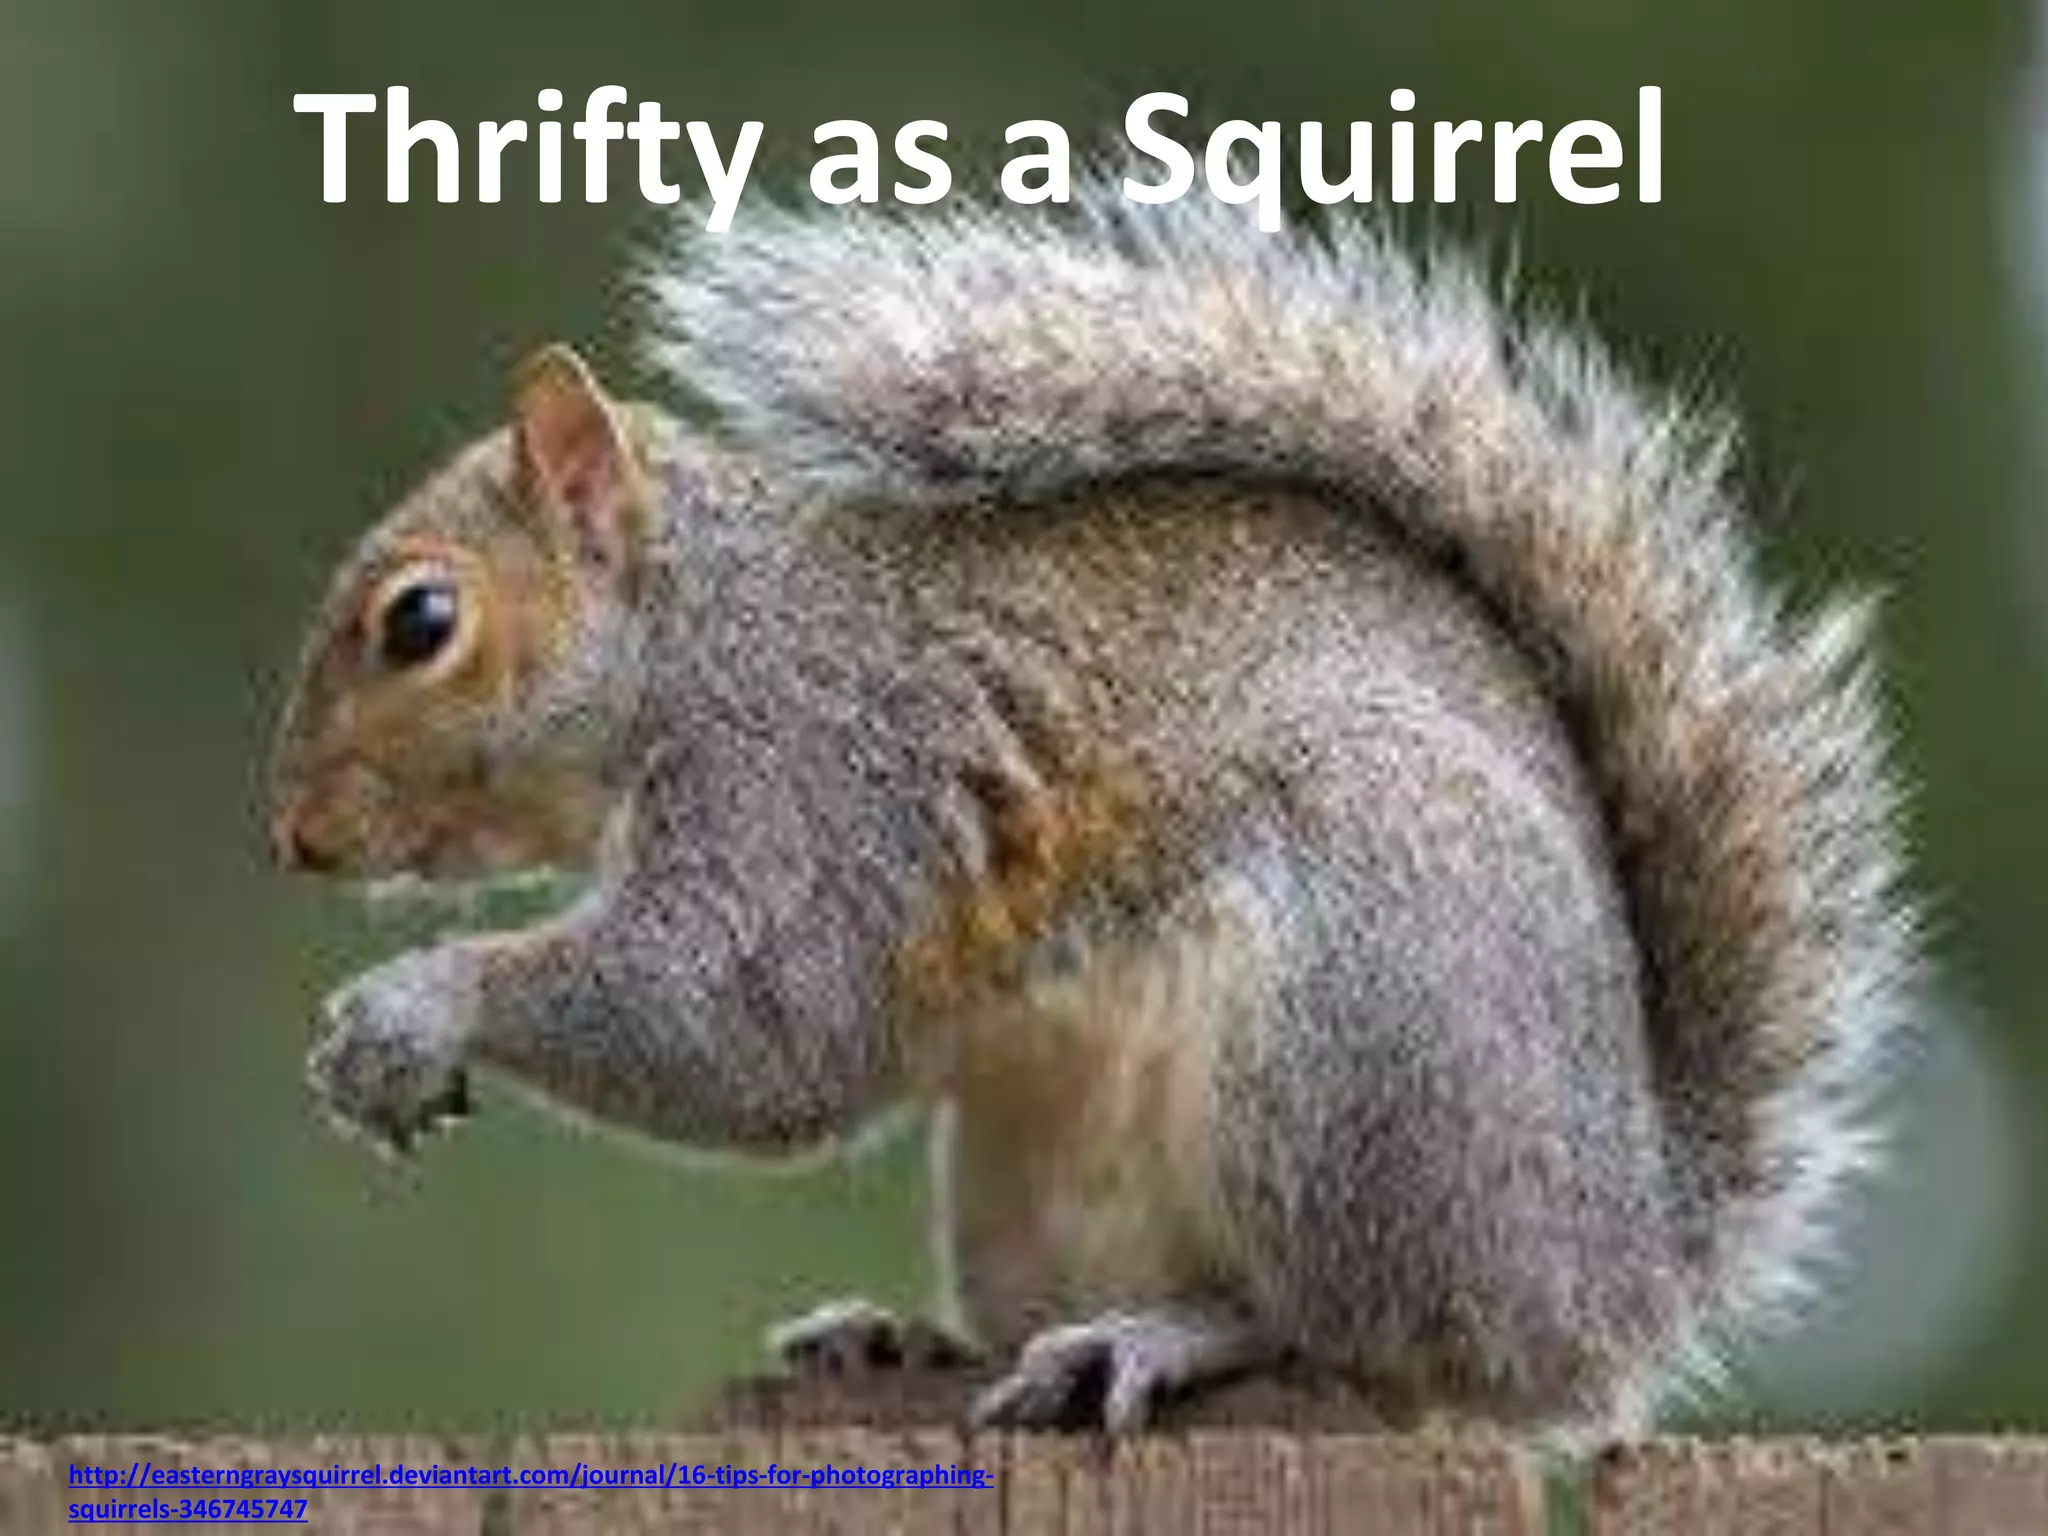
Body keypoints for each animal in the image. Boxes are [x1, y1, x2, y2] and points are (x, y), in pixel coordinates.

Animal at [267, 182, 1919, 1444]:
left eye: (421, 622)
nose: (294, 841)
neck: (706, 636)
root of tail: (1608, 1273)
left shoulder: (811, 784)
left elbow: (743, 1025)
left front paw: (414, 1005)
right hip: (1023, 1162)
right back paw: (911, 1343)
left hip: (1353, 1029)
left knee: (1350, 1332)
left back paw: (1166, 1340)